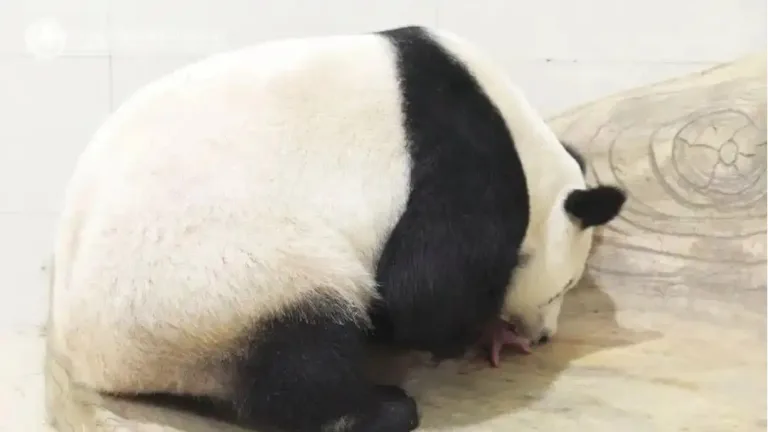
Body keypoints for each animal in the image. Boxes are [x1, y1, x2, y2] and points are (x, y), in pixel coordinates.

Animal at [47, 26, 626, 432]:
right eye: (562, 287)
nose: (543, 335)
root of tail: (94, 363)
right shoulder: (459, 154)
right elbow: (424, 291)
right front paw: (486, 330)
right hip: (217, 280)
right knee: (301, 350)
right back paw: (379, 410)